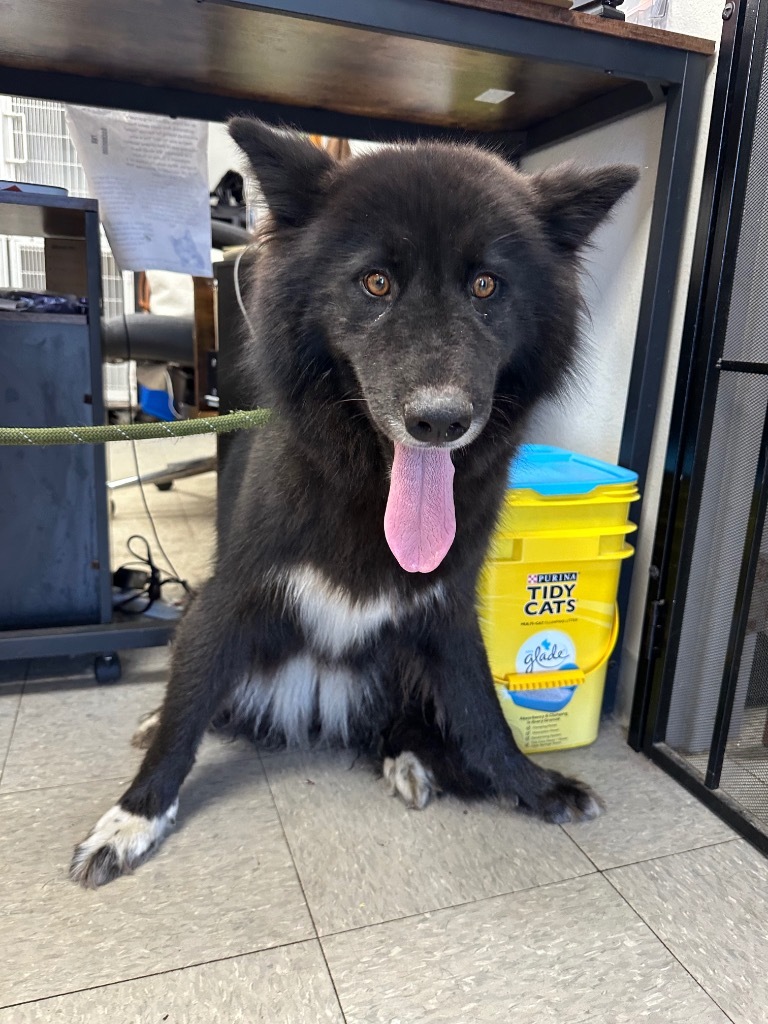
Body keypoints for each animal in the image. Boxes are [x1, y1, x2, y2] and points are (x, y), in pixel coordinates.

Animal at [70, 121, 638, 888]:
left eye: (487, 284)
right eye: (376, 282)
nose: (439, 422)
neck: (372, 484)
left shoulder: (446, 610)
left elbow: (482, 712)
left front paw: (530, 785)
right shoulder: (231, 598)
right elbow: (188, 710)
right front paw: (135, 816)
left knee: (399, 718)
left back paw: (407, 756)